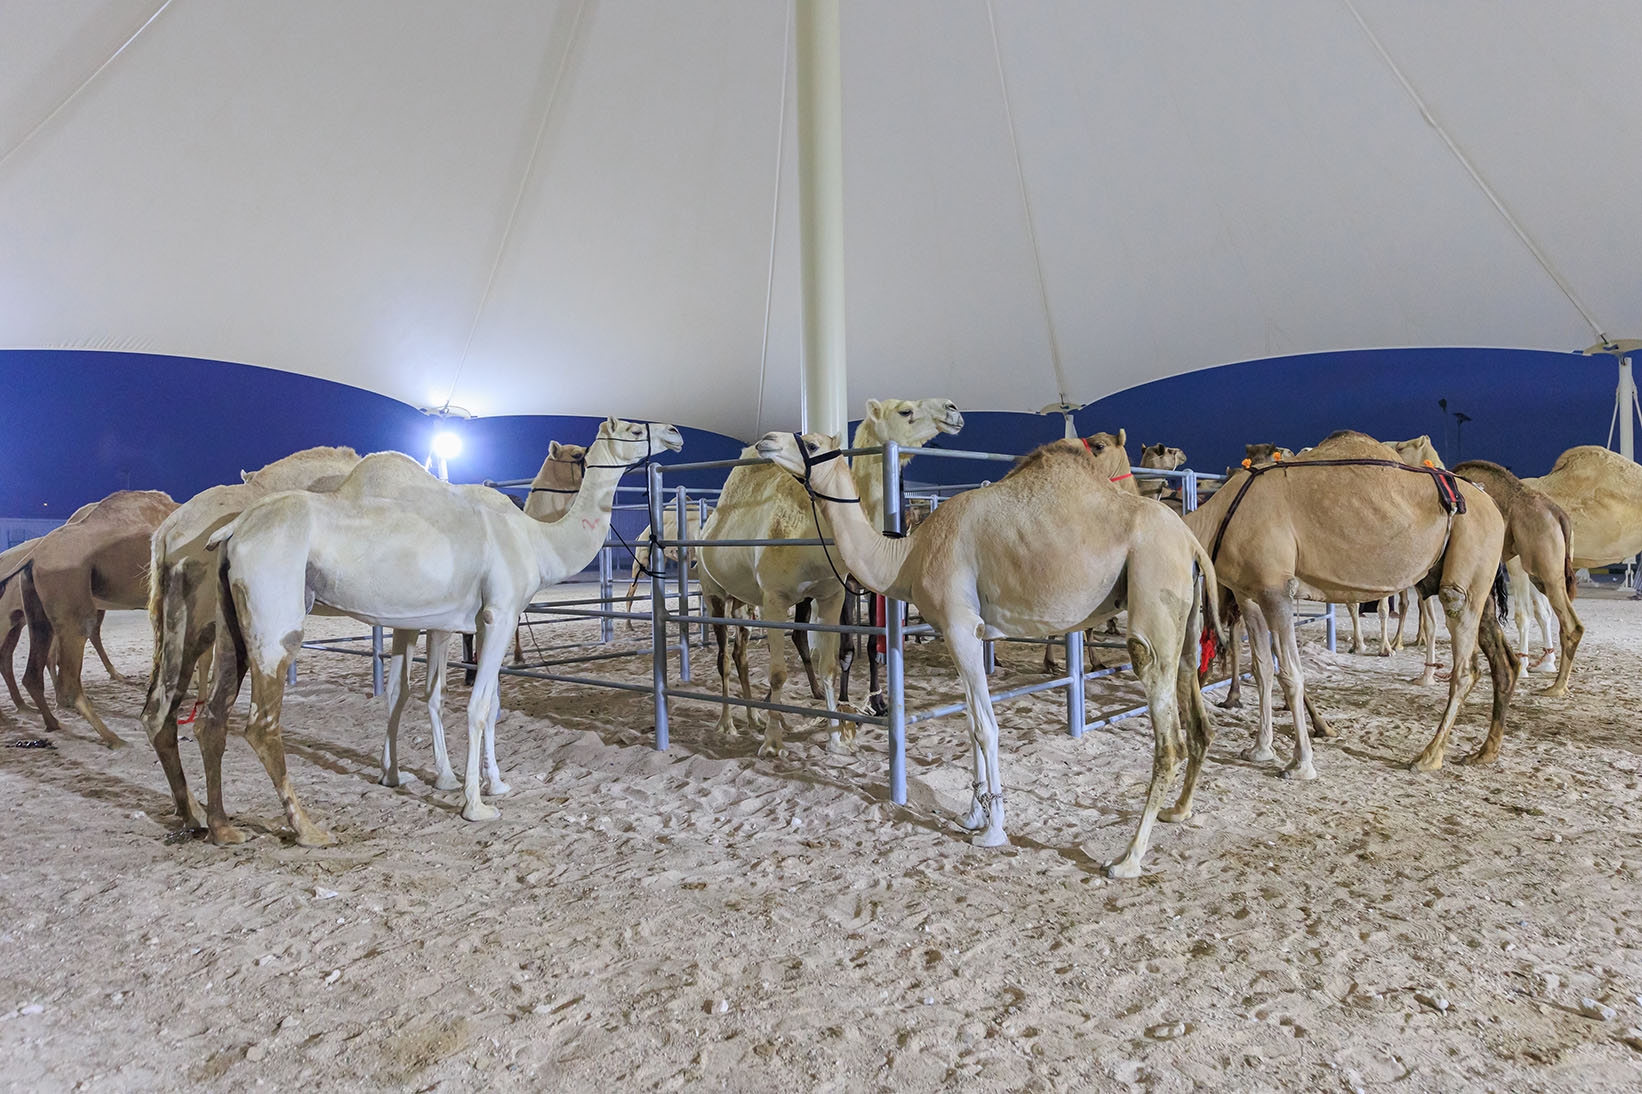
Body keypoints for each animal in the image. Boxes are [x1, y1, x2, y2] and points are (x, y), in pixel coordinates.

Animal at [0, 491, 179, 746]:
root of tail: (33, 555)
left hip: (36, 609)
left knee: (31, 671)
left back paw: (51, 722)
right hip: (70, 597)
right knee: (70, 672)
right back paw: (112, 737)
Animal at [202, 418, 681, 846]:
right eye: (633, 431)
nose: (674, 433)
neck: (537, 541)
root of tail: (234, 530)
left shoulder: (477, 620)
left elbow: (483, 702)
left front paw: (494, 783)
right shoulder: (500, 614)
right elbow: (478, 706)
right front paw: (475, 803)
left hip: (232, 623)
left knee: (214, 714)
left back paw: (221, 827)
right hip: (276, 615)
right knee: (261, 723)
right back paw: (308, 830)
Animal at [697, 398, 963, 757]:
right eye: (905, 410)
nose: (953, 409)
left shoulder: (837, 592)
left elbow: (843, 658)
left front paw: (846, 727)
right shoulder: (780, 597)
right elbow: (783, 670)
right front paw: (773, 741)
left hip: (743, 601)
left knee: (740, 654)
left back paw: (754, 716)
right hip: (713, 591)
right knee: (724, 657)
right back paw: (729, 724)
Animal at [757, 430, 1219, 877]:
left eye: (811, 443)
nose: (766, 441)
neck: (908, 556)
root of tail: (1192, 543)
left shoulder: (958, 624)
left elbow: (986, 728)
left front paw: (993, 829)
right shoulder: (970, 631)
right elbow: (969, 723)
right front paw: (973, 814)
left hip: (1154, 593)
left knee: (1166, 732)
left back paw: (1128, 859)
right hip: (1186, 618)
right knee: (1193, 699)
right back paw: (1179, 812)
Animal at [1184, 430, 1516, 778]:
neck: (1216, 519)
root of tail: (1492, 505)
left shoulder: (1276, 589)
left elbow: (1290, 673)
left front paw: (1301, 763)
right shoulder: (1248, 592)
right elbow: (1262, 670)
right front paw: (1260, 750)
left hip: (1470, 554)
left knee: (1463, 656)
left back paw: (1428, 756)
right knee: (1497, 660)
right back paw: (1483, 752)